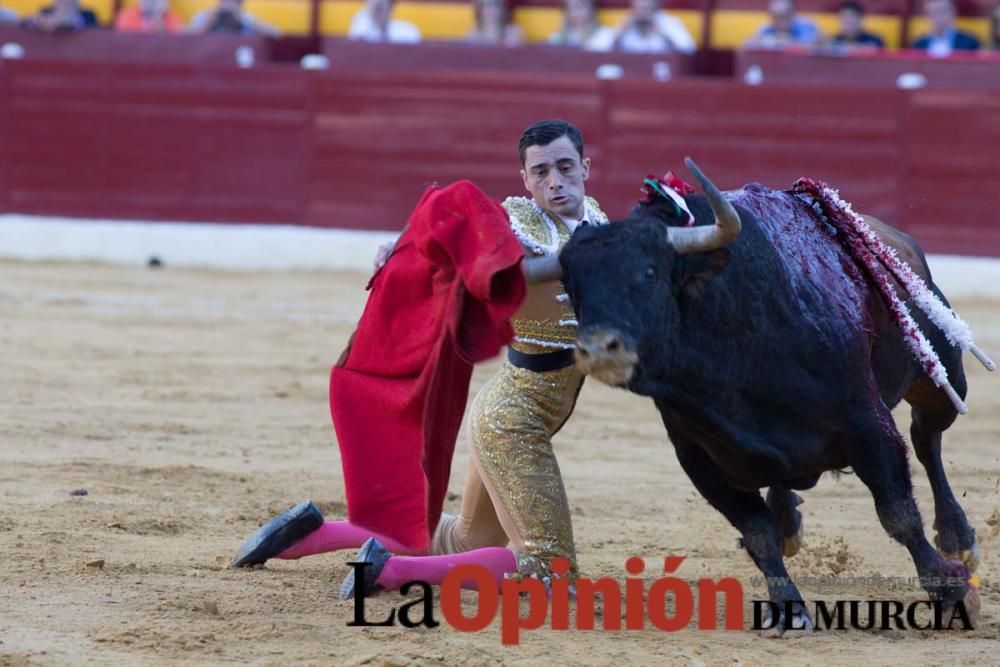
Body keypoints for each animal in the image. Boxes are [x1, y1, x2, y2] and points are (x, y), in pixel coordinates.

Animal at [560, 176, 980, 632]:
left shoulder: (867, 423)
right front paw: (788, 607)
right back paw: (787, 519)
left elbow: (898, 513)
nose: (599, 349)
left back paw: (957, 535)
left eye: (649, 272)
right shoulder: (697, 457)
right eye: (573, 285)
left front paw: (950, 591)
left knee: (926, 437)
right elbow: (758, 533)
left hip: (941, 373)